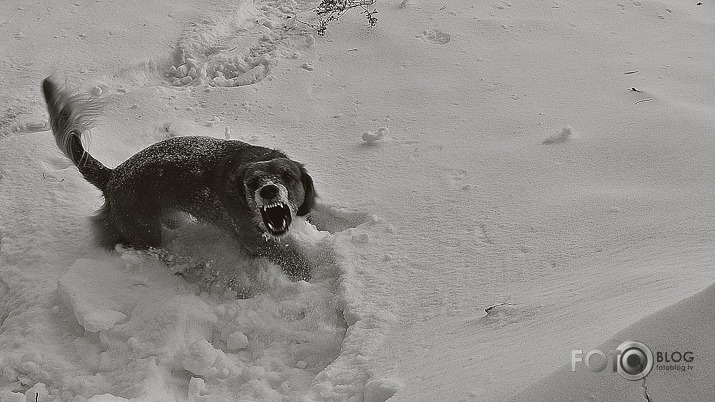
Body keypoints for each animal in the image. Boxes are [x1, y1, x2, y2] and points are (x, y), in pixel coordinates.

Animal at [42, 77, 316, 282]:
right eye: (253, 183)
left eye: (287, 176)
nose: (268, 190)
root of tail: (112, 176)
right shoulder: (254, 238)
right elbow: (292, 258)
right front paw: (308, 277)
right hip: (144, 231)